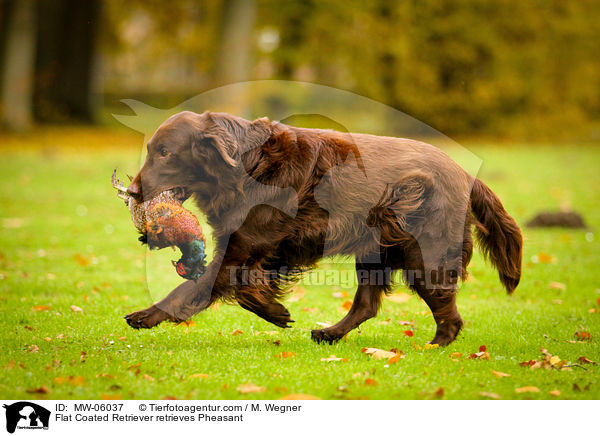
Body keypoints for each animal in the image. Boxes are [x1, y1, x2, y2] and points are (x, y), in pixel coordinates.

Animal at [125, 110, 520, 346]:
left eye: (165, 153)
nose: (131, 192)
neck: (246, 166)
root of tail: (466, 174)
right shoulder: (262, 249)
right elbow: (241, 286)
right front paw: (275, 311)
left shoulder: (245, 246)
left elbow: (195, 288)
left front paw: (146, 315)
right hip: (374, 252)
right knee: (367, 305)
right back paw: (330, 333)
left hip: (424, 256)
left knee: (448, 313)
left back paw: (434, 346)